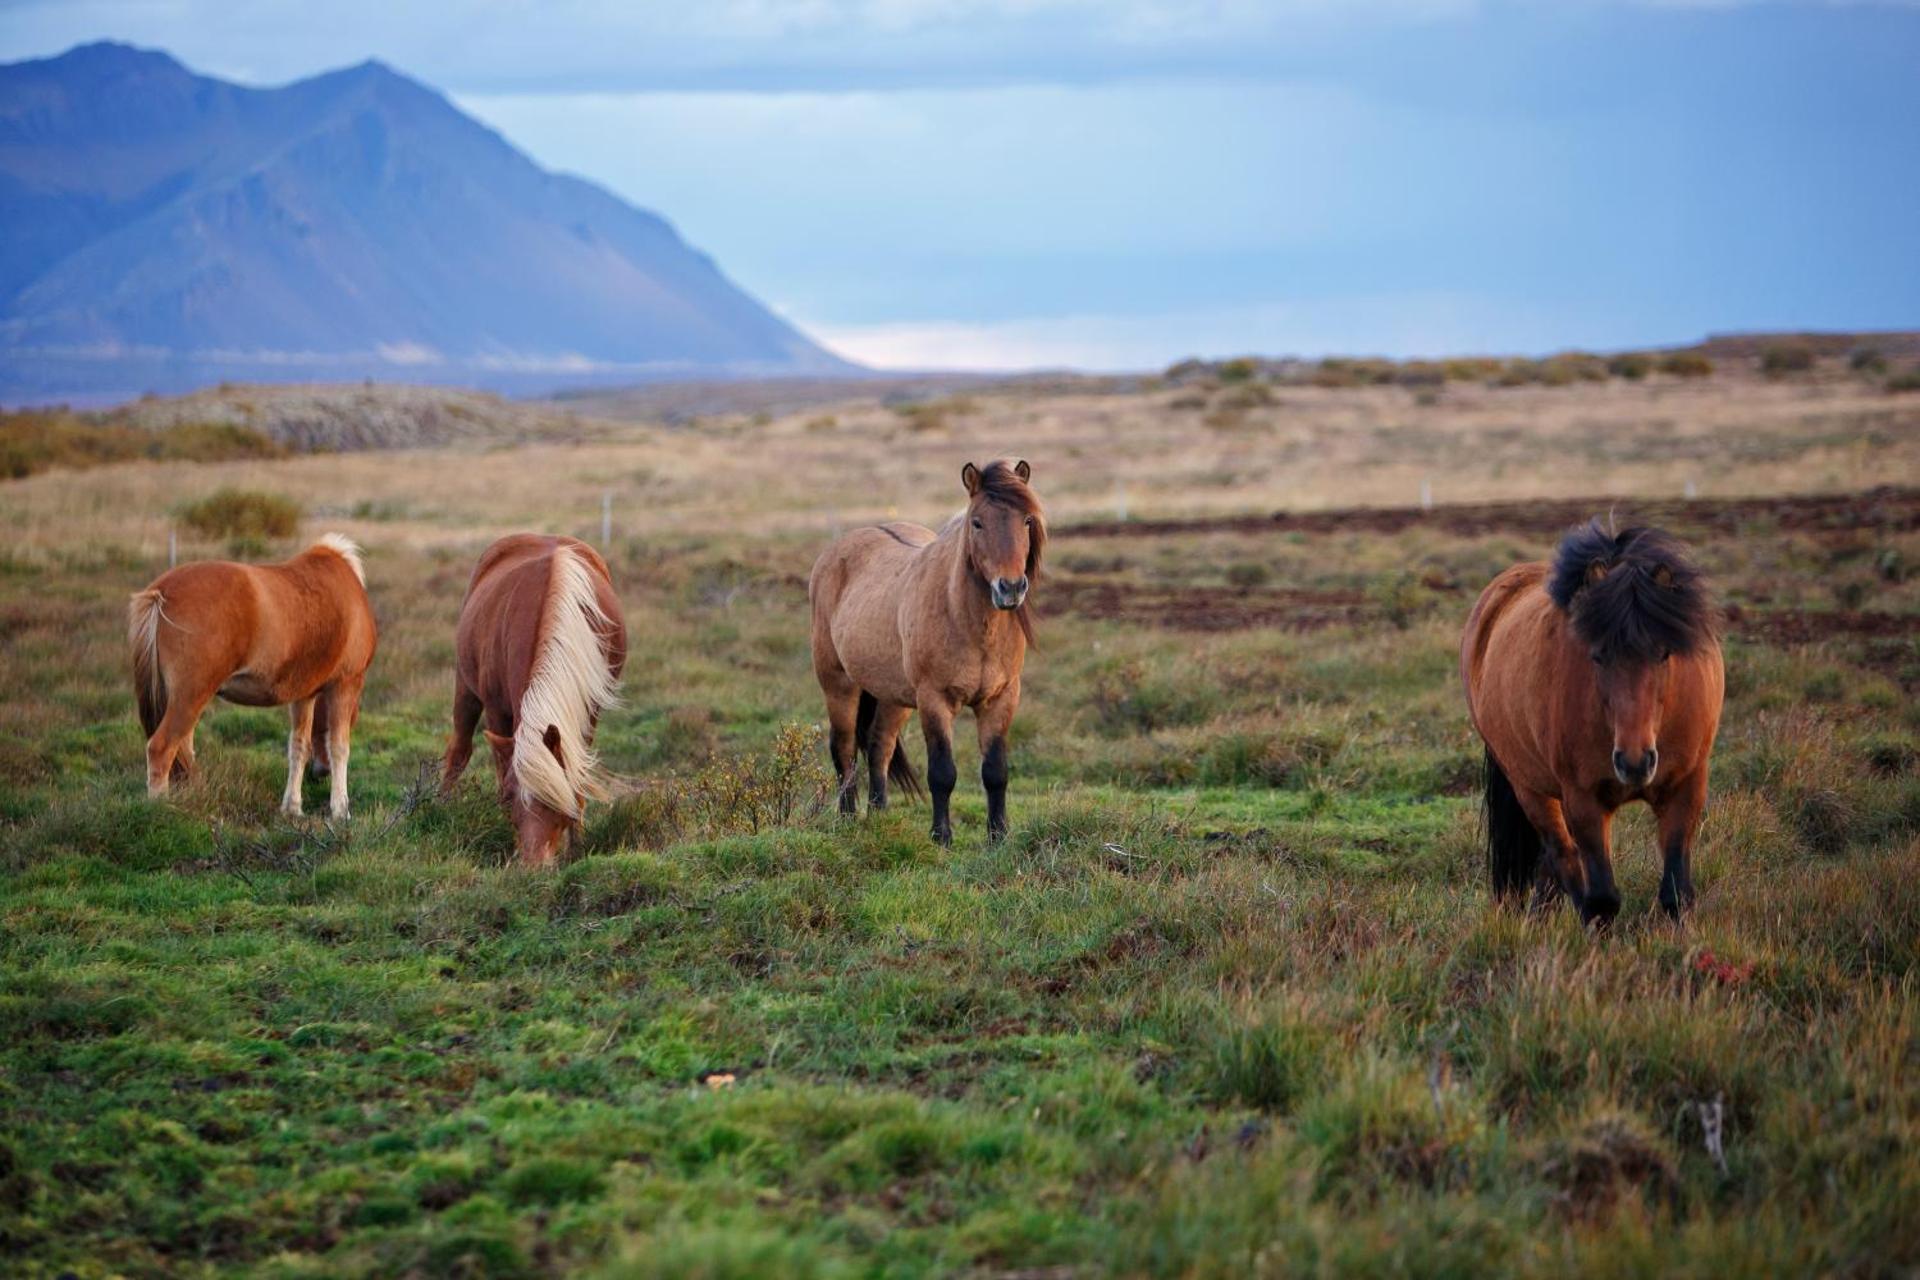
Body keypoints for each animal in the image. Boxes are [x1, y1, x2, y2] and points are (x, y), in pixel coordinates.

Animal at [128, 534, 377, 819]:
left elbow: (298, 746)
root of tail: (162, 592)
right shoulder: (345, 684)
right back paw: (160, 811)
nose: (320, 772)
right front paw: (340, 809)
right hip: (190, 697)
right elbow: (339, 746)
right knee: (162, 748)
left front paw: (292, 807)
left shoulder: (304, 695)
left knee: (184, 748)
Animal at [441, 534, 626, 866]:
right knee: (459, 750)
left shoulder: (588, 713)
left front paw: (576, 846)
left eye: (555, 798)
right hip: (465, 687)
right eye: (509, 799)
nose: (532, 866)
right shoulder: (497, 712)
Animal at [809, 458, 1045, 846]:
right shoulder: (934, 700)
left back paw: (879, 816)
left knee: (879, 746)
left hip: (893, 696)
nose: (1010, 588)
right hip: (838, 685)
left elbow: (996, 771)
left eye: (1027, 521)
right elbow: (942, 773)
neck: (967, 620)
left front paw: (998, 836)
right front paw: (941, 837)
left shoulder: (1001, 698)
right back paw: (847, 819)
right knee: (844, 749)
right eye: (976, 522)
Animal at [1461, 520, 1723, 924]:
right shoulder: (1583, 800)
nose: (1635, 762)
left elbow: (1676, 892)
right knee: (1562, 856)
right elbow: (1601, 898)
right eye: (1598, 656)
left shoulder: (1687, 787)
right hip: (1531, 789)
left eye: (1664, 654)